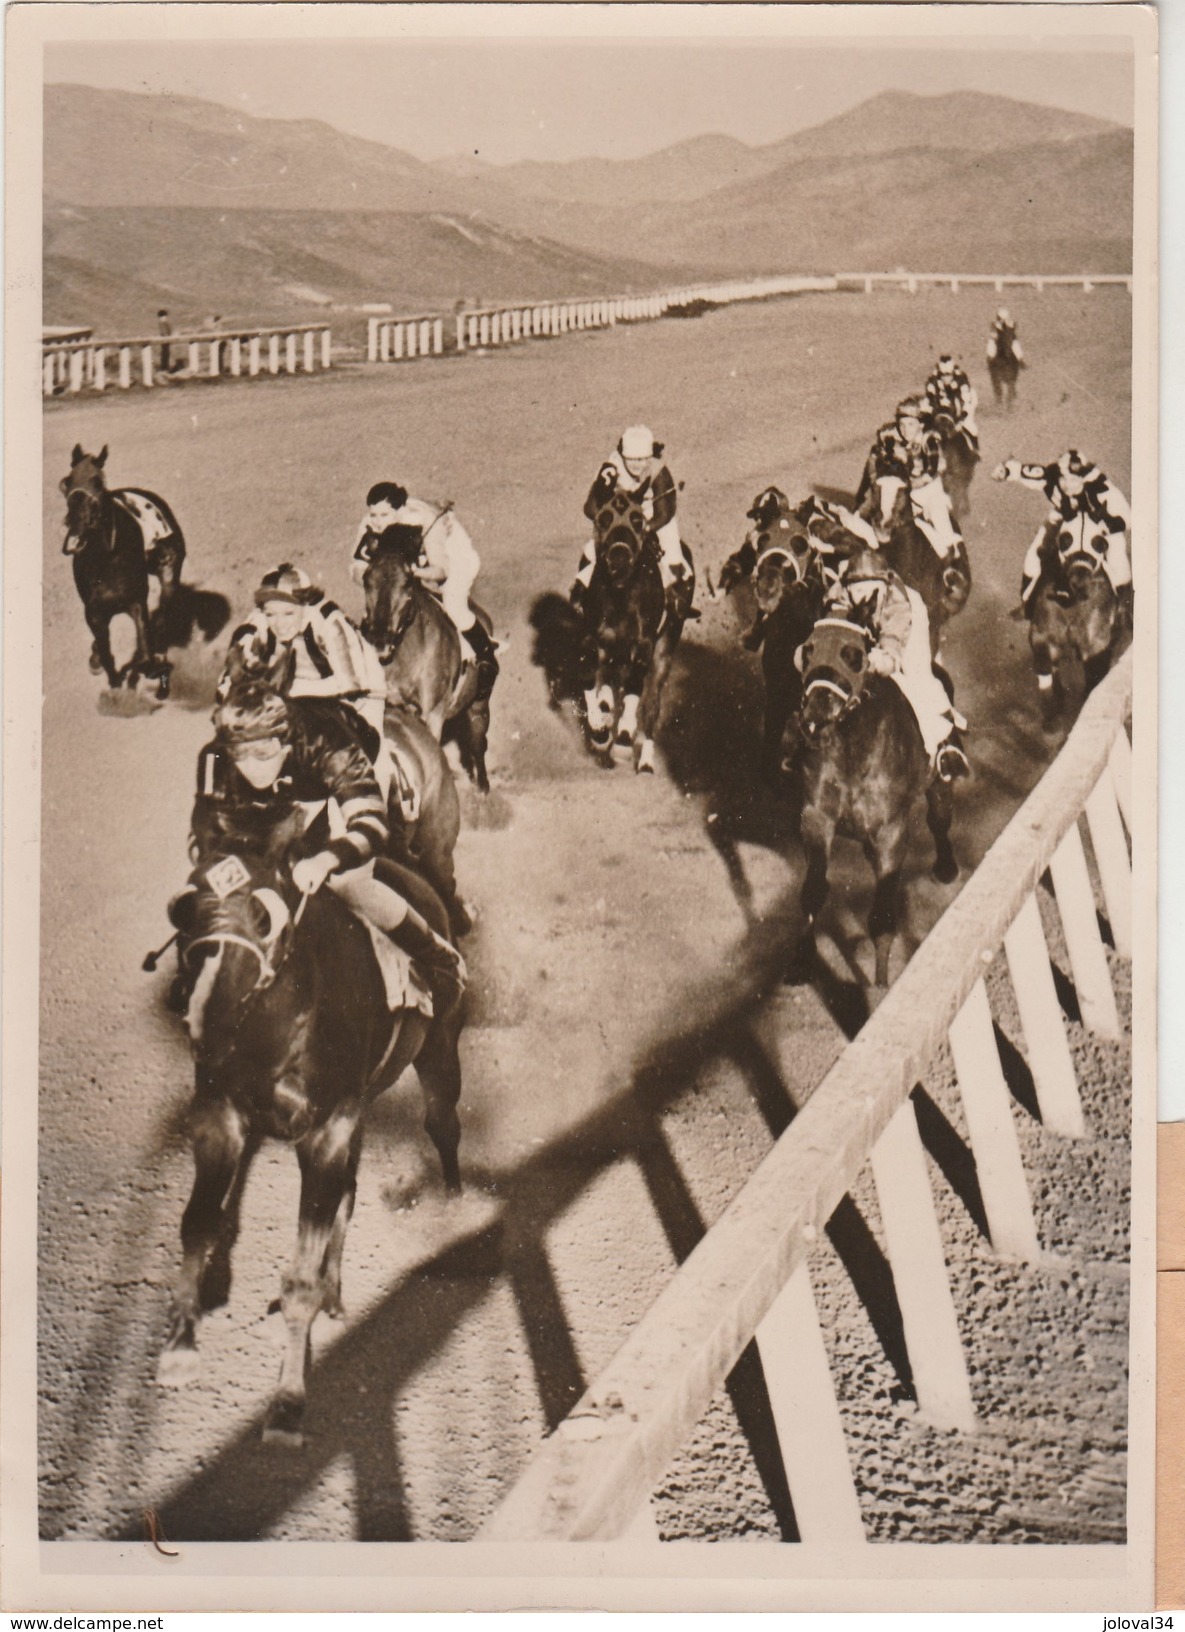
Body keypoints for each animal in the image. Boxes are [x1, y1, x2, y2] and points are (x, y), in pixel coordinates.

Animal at [58, 450, 186, 698]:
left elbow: (145, 651)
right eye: (67, 481)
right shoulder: (94, 611)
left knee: (163, 620)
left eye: (97, 483)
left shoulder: (136, 602)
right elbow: (106, 653)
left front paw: (150, 671)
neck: (106, 559)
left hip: (168, 574)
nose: (74, 520)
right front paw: (107, 672)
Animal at [159, 835, 466, 1449]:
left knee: (443, 1126)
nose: (207, 1020)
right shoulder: (221, 1116)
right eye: (183, 912)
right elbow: (199, 1222)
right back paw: (336, 1289)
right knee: (347, 1191)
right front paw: (180, 1345)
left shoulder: (325, 1131)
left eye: (263, 916)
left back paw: (457, 1204)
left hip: (438, 1047)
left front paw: (287, 1403)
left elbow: (300, 1275)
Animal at [359, 525, 492, 793]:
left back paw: (482, 788)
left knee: (477, 741)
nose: (379, 640)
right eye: (367, 579)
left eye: (407, 582)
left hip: (479, 704)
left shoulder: (433, 714)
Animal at [793, 616, 959, 985]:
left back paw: (947, 867)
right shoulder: (817, 817)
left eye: (853, 655)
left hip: (939, 784)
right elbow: (813, 891)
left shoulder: (890, 831)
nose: (817, 706)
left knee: (940, 820)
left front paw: (881, 982)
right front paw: (801, 962)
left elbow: (882, 915)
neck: (853, 749)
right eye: (808, 650)